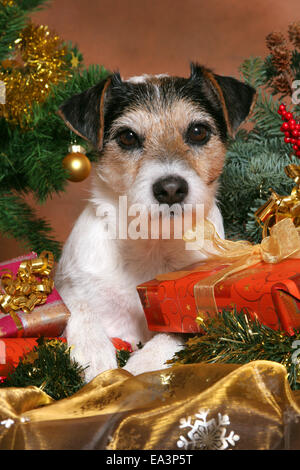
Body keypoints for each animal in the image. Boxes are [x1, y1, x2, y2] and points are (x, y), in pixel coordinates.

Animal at [54, 63, 255, 382]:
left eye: (198, 131)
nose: (171, 188)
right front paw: (93, 353)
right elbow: (78, 307)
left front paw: (138, 368)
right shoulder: (73, 284)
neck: (151, 243)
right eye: (127, 137)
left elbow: (173, 334)